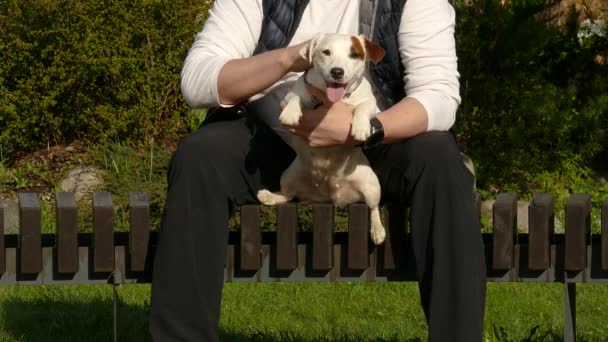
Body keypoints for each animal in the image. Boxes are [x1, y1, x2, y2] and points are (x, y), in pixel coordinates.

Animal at [256, 33, 384, 244]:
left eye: (354, 54)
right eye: (326, 52)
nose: (337, 71)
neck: (334, 100)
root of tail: (330, 197)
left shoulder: (371, 103)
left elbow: (363, 108)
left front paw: (360, 126)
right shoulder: (296, 93)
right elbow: (295, 98)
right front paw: (291, 113)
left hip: (372, 186)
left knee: (373, 208)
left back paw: (377, 229)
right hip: (289, 176)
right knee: (288, 195)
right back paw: (270, 196)